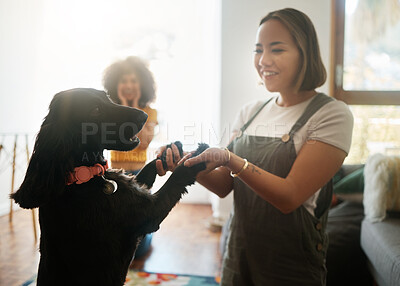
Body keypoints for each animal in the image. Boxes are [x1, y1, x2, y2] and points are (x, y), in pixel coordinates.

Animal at [11, 89, 208, 286]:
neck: (85, 175)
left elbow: (147, 169)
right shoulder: (150, 213)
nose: (144, 116)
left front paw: (169, 151)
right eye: (95, 110)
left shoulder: (133, 187)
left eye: (108, 98)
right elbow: (177, 178)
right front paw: (199, 155)